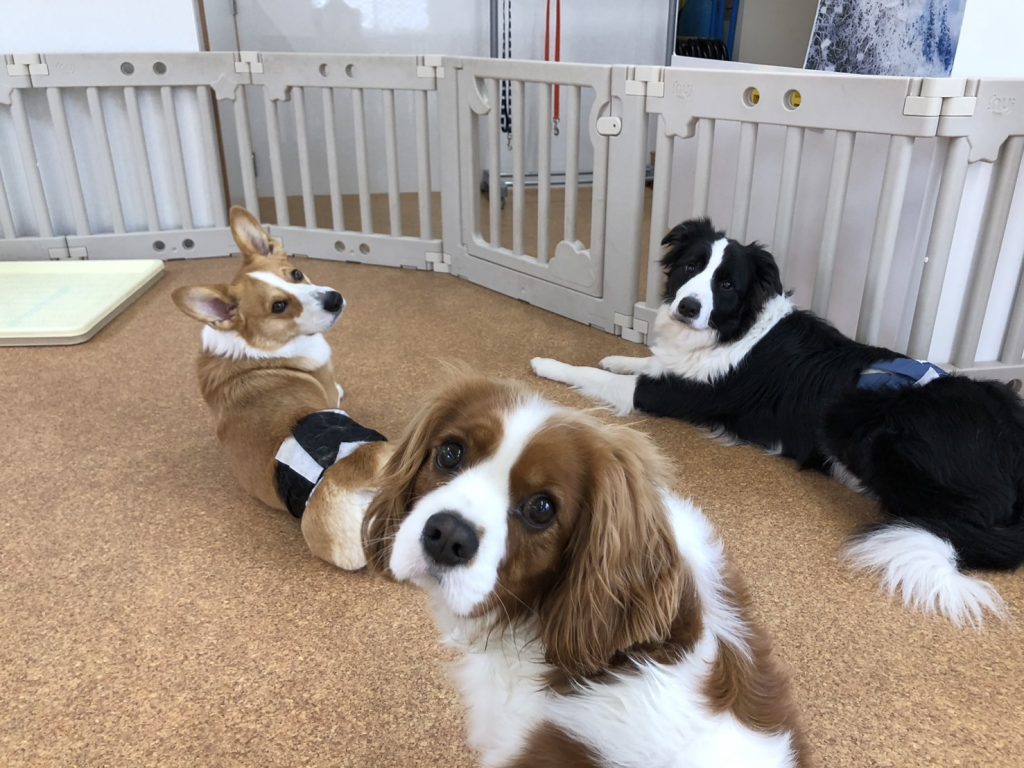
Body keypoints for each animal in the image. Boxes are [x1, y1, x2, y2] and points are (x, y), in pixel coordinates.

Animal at [532, 217, 1024, 626]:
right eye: (691, 266)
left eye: (727, 284)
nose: (688, 307)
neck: (734, 328)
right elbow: (641, 362)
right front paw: (618, 355)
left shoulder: (673, 395)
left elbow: (605, 377)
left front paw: (548, 365)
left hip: (864, 421)